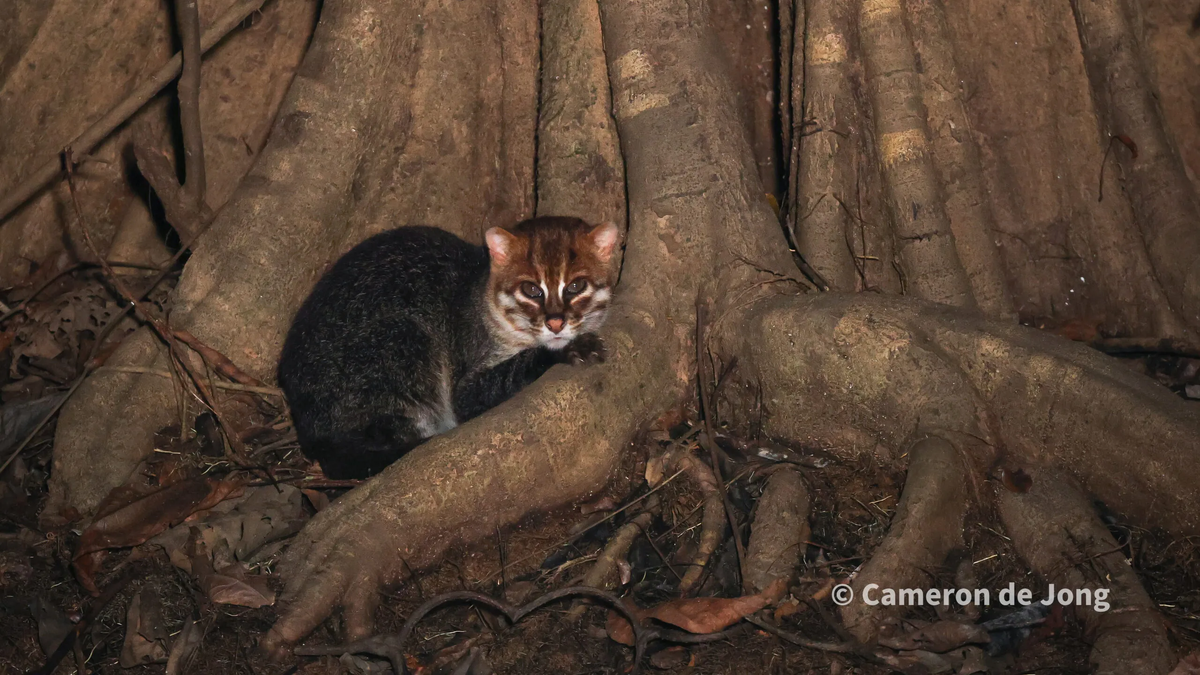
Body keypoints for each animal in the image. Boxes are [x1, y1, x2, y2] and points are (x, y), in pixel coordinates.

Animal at [277, 216, 620, 479]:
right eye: (531, 289)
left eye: (575, 286)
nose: (556, 323)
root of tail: (307, 428)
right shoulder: (468, 363)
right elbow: (476, 392)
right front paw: (564, 350)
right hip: (398, 343)